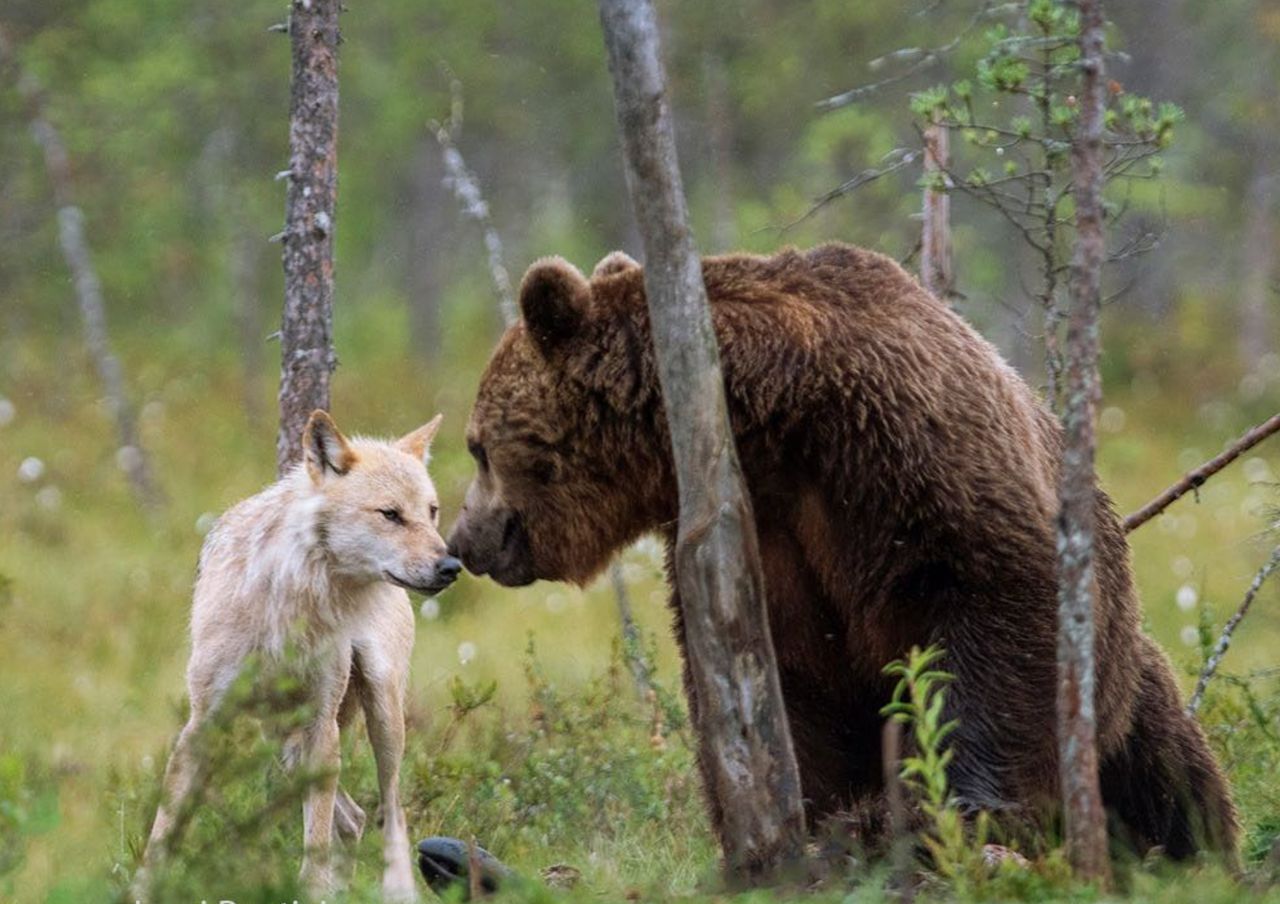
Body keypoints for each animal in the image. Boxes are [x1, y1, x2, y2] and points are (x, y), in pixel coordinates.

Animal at [448, 239, 1239, 860]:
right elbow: (785, 688)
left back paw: (1184, 850)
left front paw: (950, 807)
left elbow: (997, 600)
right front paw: (812, 826)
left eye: (477, 446)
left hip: (1122, 679)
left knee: (1168, 769)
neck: (771, 411)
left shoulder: (909, 447)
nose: (464, 541)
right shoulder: (760, 540)